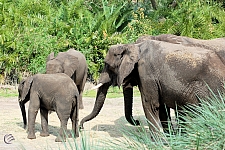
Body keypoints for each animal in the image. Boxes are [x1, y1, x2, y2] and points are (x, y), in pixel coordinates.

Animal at [80, 35, 225, 132]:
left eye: (108, 66)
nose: (81, 127)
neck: (134, 47)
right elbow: (162, 107)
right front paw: (171, 137)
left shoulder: (147, 74)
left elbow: (150, 104)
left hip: (211, 86)